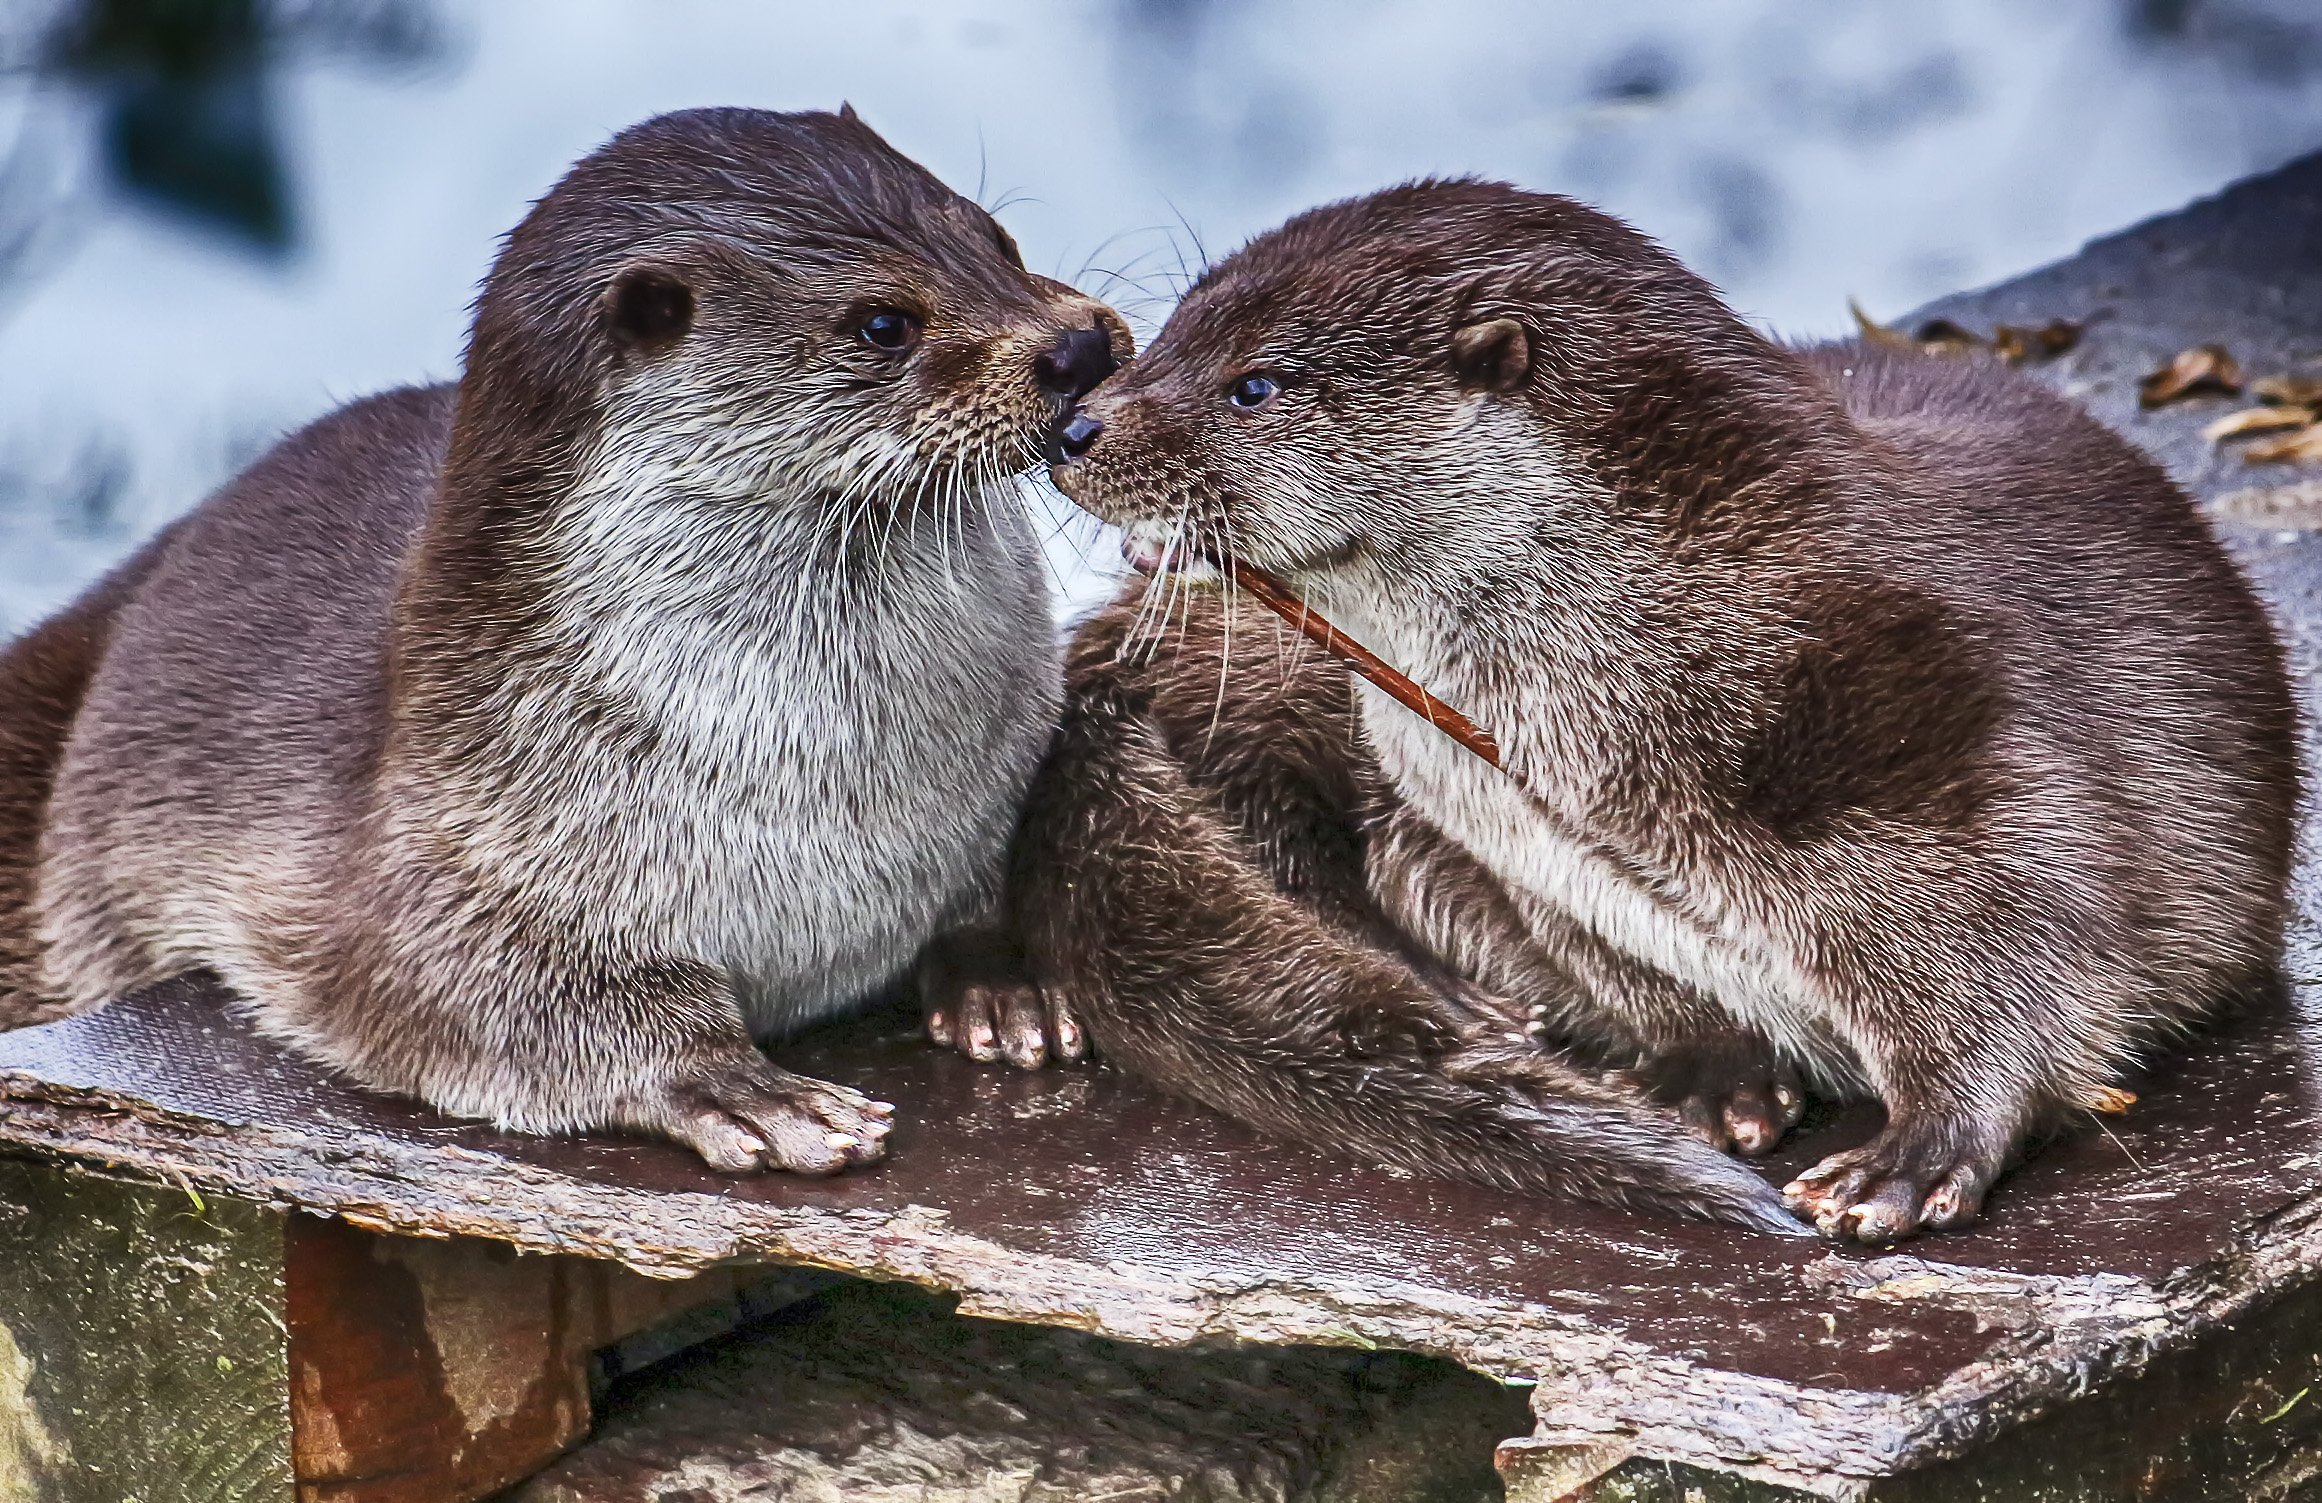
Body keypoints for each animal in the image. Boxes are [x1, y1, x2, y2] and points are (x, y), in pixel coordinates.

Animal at [0, 111, 1128, 1180]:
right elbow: (479, 991)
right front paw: (745, 1090)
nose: (1078, 347)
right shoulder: (449, 846)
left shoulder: (1004, 777)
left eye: (996, 238)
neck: (833, 792)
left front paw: (1006, 984)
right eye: (883, 322)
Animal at [1040, 178, 2303, 1245]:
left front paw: (1912, 1158)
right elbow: (1629, 972)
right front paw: (1709, 1076)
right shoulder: (1536, 856)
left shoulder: (1943, 755)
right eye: (1166, 335)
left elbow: (2030, 960)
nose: (1076, 427)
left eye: (1255, 384)